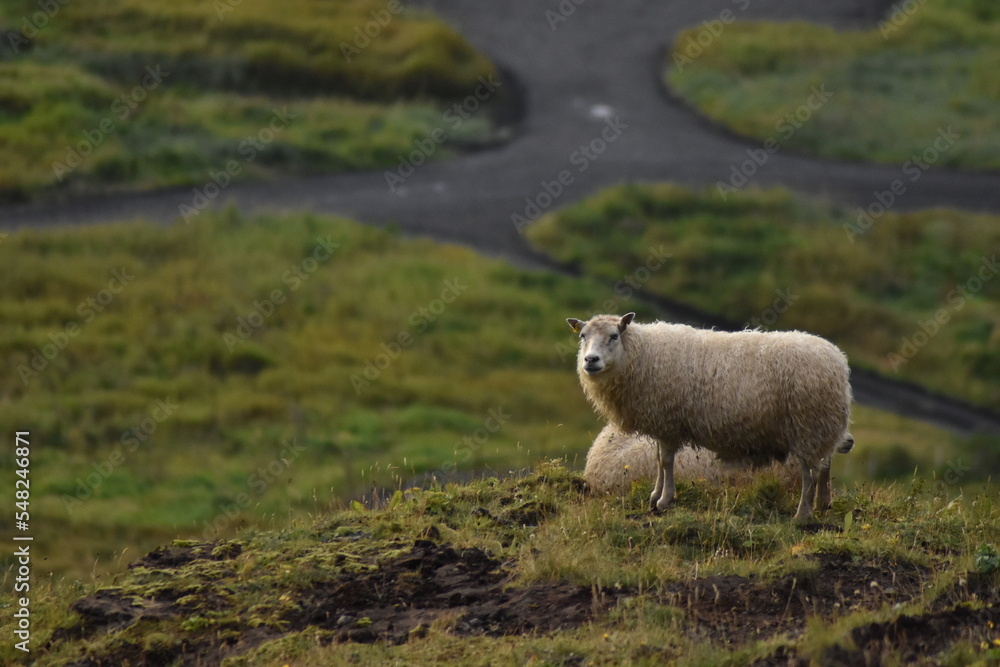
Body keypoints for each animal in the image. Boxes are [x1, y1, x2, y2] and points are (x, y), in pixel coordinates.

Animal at [566, 313, 854, 521]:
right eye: (583, 336)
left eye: (614, 336)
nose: (590, 360)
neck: (642, 354)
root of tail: (838, 361)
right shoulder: (662, 422)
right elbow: (659, 460)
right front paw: (655, 495)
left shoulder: (669, 421)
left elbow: (667, 462)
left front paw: (664, 500)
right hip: (817, 429)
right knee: (821, 467)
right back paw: (822, 505)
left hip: (809, 426)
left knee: (810, 473)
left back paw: (802, 514)